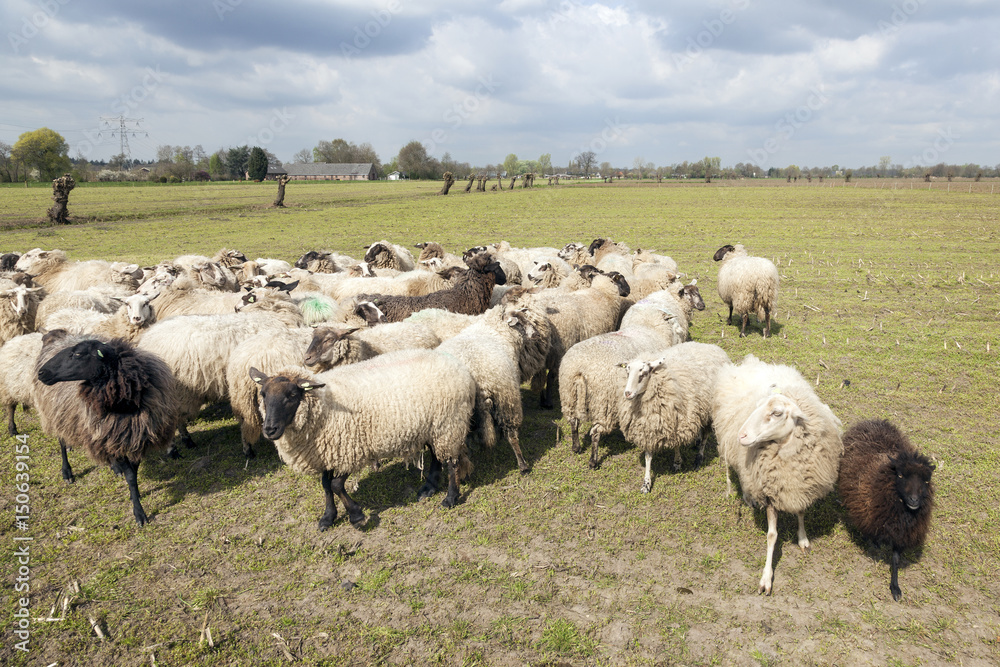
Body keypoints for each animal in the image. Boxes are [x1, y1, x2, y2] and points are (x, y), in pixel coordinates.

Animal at [34, 334, 180, 528]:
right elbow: (130, 476)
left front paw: (135, 495)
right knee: (62, 441)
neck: (125, 404)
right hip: (58, 415)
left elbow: (133, 474)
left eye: (78, 354)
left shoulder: (135, 437)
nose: (42, 373)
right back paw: (67, 472)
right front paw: (139, 513)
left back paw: (114, 466)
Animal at [249, 350, 476, 532]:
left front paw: (356, 516)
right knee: (436, 456)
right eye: (263, 394)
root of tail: (457, 364)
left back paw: (450, 498)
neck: (324, 404)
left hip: (449, 425)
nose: (269, 430)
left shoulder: (350, 452)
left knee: (452, 462)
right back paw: (428, 488)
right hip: (433, 426)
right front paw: (328, 518)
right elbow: (326, 485)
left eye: (292, 395)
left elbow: (336, 485)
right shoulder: (327, 454)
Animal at [620, 344, 732, 490]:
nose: (627, 393)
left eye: (643, 374)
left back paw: (699, 458)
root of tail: (712, 346)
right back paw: (696, 441)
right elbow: (648, 457)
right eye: (627, 373)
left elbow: (676, 445)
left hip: (710, 410)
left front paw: (677, 463)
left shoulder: (677, 423)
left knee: (706, 435)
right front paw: (646, 483)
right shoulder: (648, 429)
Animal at [712, 354, 844, 596]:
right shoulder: (770, 493)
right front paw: (766, 578)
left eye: (776, 413)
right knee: (732, 467)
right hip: (727, 440)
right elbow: (772, 536)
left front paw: (803, 538)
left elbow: (801, 512)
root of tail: (752, 362)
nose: (741, 435)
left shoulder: (798, 485)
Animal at [840, 420, 932, 604]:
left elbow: (895, 559)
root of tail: (873, 421)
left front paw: (895, 587)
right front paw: (873, 542)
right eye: (901, 475)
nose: (914, 501)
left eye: (926, 481)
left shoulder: (901, 533)